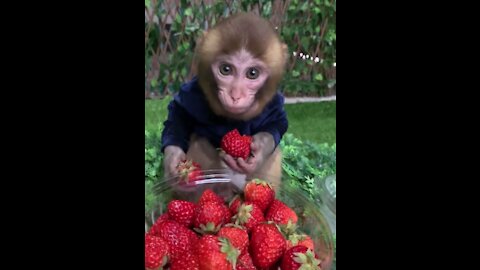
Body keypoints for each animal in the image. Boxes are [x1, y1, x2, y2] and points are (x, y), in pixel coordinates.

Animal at [161, 12, 288, 192]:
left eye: (253, 73)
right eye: (226, 69)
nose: (235, 95)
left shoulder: (273, 102)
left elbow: (278, 121)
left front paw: (260, 149)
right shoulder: (193, 92)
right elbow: (178, 113)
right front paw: (173, 158)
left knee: (275, 153)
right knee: (200, 142)